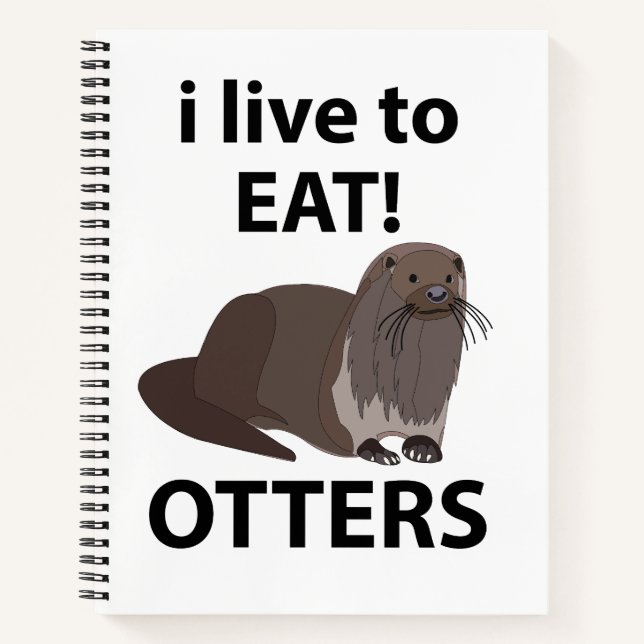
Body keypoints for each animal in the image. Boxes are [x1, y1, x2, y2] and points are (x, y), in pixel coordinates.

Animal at [138, 242, 491, 465]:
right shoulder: (341, 398)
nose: (437, 292)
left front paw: (422, 448)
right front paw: (378, 451)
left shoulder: (434, 407)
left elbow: (430, 434)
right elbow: (353, 437)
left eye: (449, 277)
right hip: (247, 314)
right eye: (412, 276)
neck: (395, 394)